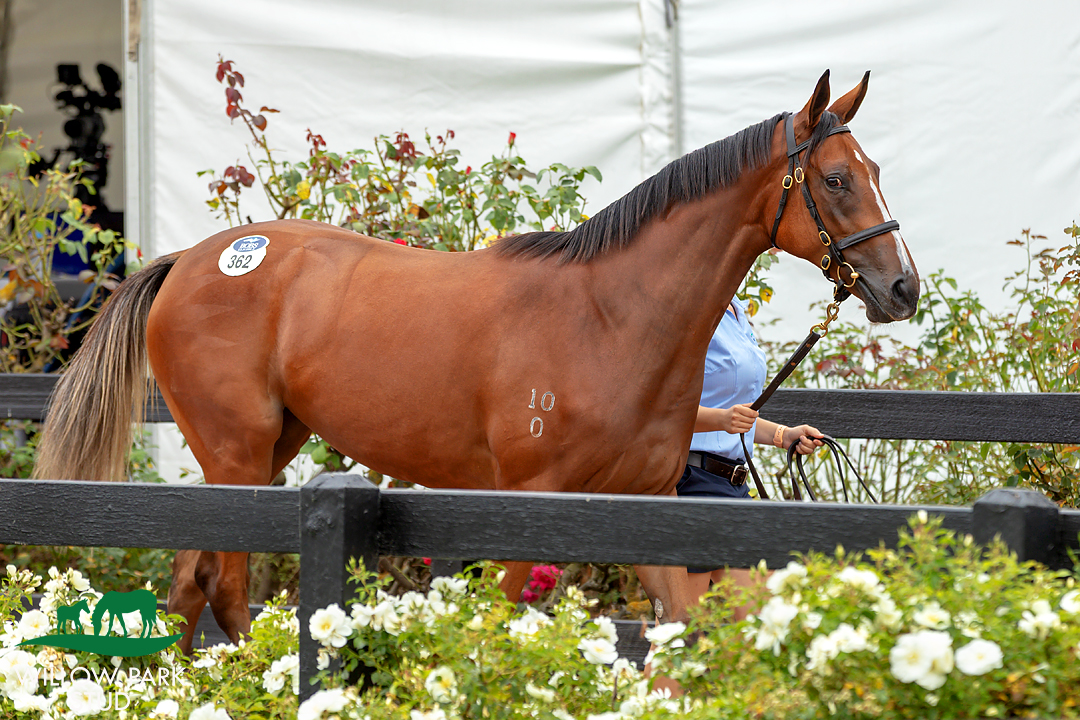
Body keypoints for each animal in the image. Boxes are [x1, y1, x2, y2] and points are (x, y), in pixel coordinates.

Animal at [34, 70, 919, 653]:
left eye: (875, 172)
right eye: (836, 179)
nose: (902, 286)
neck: (608, 317)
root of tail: (189, 261)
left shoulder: (641, 505)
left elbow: (681, 625)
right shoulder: (526, 508)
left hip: (261, 451)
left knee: (188, 585)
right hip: (238, 453)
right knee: (222, 587)